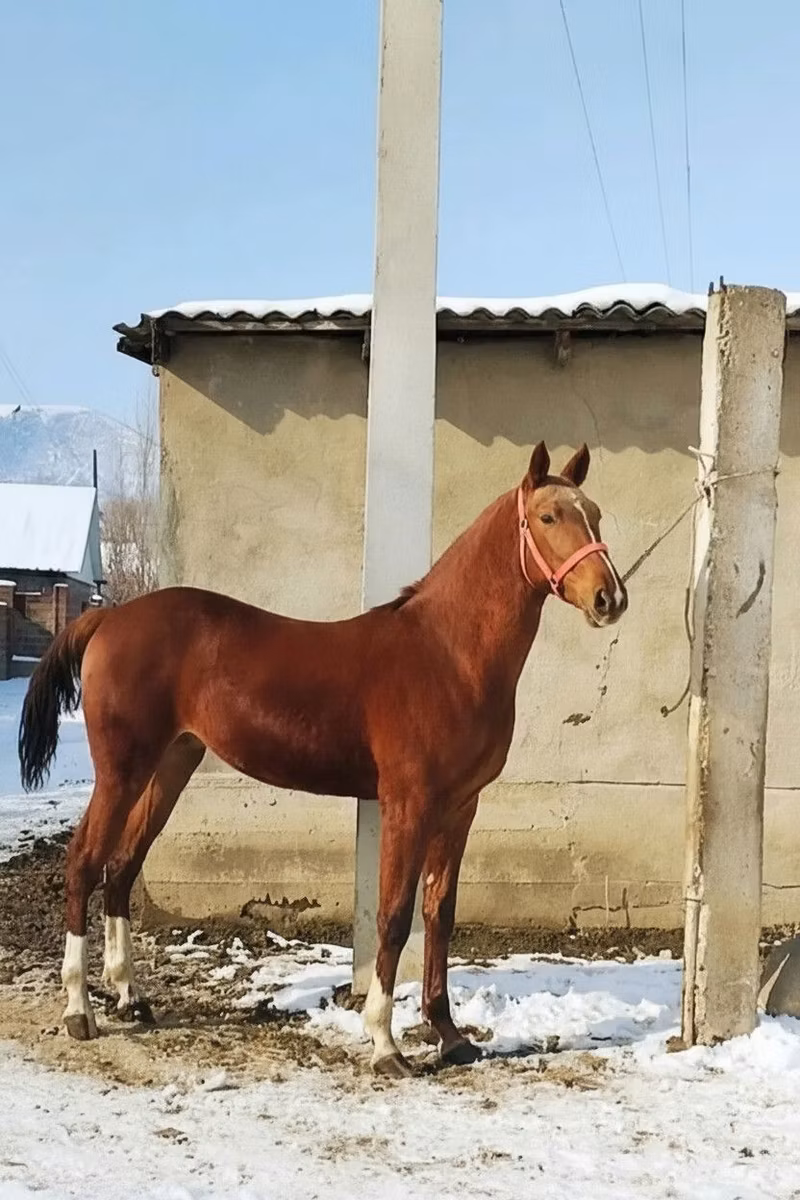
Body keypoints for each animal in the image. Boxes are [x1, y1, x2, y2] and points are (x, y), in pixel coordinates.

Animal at [18, 440, 627, 1077]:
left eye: (595, 514)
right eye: (548, 517)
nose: (610, 597)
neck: (447, 654)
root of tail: (109, 617)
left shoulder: (461, 808)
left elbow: (440, 913)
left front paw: (450, 1035)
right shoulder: (408, 804)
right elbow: (394, 916)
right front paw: (385, 1044)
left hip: (170, 766)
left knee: (120, 868)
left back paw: (132, 998)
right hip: (121, 770)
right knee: (84, 863)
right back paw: (79, 1011)